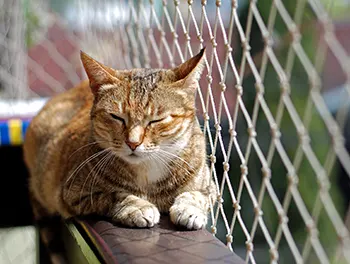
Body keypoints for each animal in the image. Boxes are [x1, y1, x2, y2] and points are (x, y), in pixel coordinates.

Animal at [23, 48, 216, 235]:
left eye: (156, 120)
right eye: (117, 117)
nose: (133, 143)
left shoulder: (210, 186)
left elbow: (197, 194)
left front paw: (190, 209)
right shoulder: (73, 194)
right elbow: (114, 194)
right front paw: (137, 206)